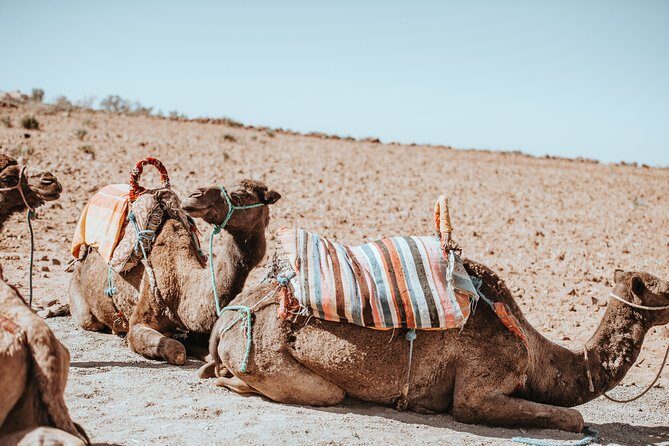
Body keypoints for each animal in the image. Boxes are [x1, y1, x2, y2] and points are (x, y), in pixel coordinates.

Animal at [68, 180, 281, 365]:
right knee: (89, 320)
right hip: (82, 304)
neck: (180, 285)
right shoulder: (139, 321)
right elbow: (177, 351)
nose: (195, 195)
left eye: (238, 195)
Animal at [203, 262, 669, 433]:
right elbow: (574, 418)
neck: (536, 352)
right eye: (664, 288)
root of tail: (228, 317)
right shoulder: (478, 388)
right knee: (322, 392)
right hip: (271, 356)